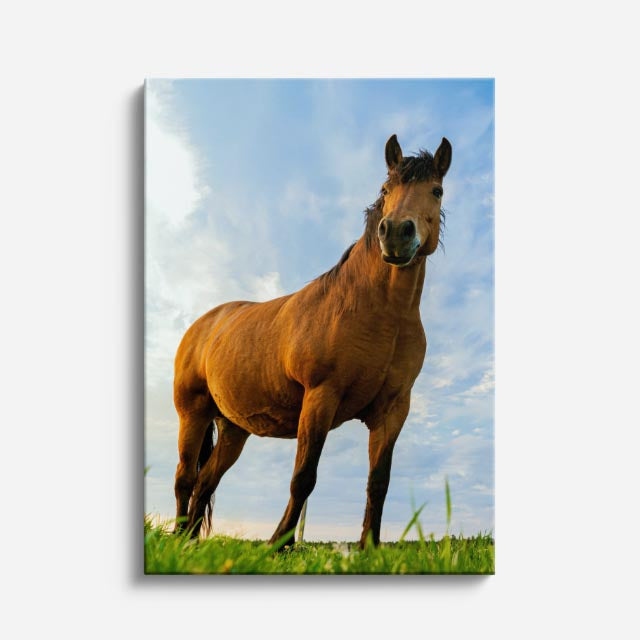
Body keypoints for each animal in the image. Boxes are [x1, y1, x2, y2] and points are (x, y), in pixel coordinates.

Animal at [173, 133, 452, 548]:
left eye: (437, 190)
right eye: (386, 189)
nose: (397, 234)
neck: (381, 314)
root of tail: (204, 324)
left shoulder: (393, 410)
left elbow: (378, 483)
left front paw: (369, 548)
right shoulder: (321, 396)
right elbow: (304, 477)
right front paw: (279, 544)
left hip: (234, 429)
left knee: (206, 482)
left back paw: (189, 542)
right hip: (192, 414)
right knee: (185, 479)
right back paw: (176, 537)